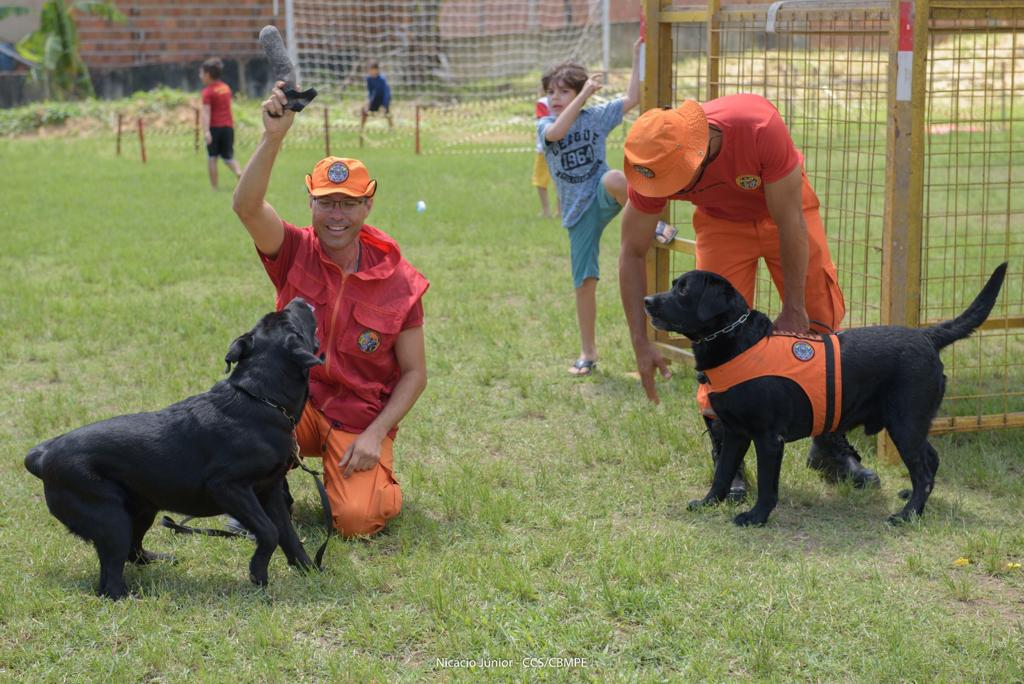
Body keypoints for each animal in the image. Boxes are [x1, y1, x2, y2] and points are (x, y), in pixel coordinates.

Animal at [24, 296, 323, 593]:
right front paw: (258, 573)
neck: (261, 398)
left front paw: (310, 570)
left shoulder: (270, 490)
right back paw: (131, 597)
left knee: (133, 551)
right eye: (292, 322)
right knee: (110, 581)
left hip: (142, 509)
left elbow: (287, 534)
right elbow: (269, 531)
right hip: (111, 519)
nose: (300, 300)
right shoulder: (228, 487)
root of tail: (43, 456)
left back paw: (161, 560)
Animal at [643, 264, 1011, 528]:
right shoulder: (734, 433)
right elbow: (722, 475)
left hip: (906, 423)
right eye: (674, 284)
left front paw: (756, 517)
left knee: (924, 470)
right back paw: (912, 500)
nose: (646, 301)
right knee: (931, 461)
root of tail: (927, 336)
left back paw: (907, 515)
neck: (737, 342)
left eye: (683, 289)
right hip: (914, 424)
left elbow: (767, 484)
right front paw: (708, 504)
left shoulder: (769, 438)